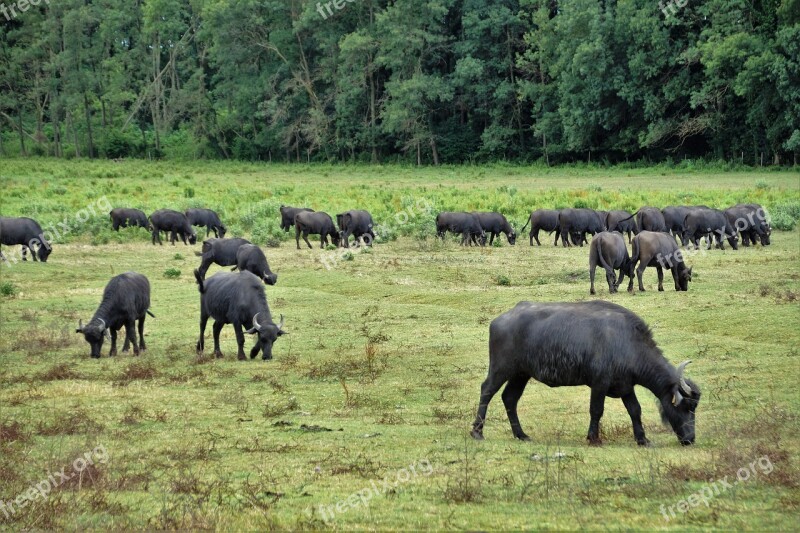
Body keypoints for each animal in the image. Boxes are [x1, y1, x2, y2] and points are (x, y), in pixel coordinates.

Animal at [468, 300, 700, 444]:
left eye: (694, 408)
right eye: (686, 407)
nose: (690, 439)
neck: (627, 343)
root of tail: (500, 320)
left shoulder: (625, 386)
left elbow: (635, 410)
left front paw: (642, 439)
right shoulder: (599, 383)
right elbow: (596, 410)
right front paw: (593, 437)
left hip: (521, 374)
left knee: (510, 398)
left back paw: (521, 434)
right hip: (501, 367)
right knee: (486, 391)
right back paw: (477, 432)